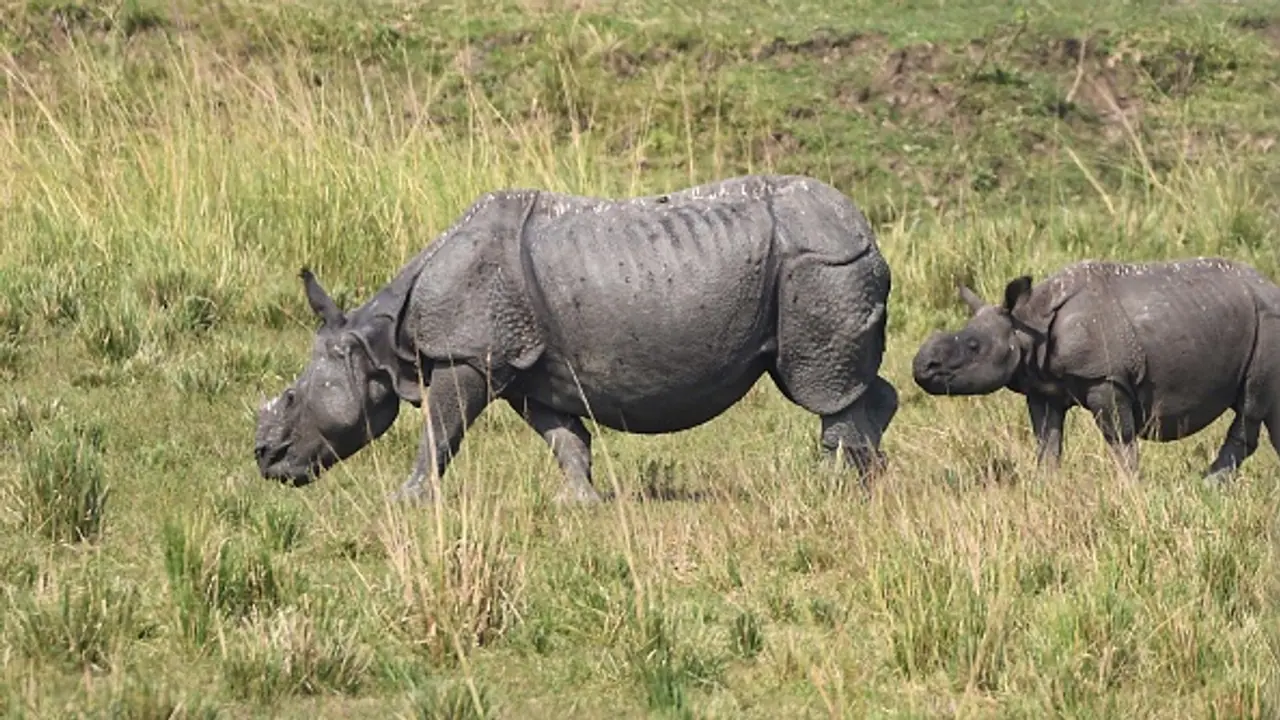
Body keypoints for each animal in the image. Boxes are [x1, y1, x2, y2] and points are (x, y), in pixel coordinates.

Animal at [253, 174, 900, 504]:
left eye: (292, 398)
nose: (265, 459)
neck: (383, 345)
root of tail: (865, 226)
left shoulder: (469, 352)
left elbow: (439, 429)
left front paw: (405, 501)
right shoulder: (525, 365)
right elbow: (564, 437)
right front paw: (579, 504)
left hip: (820, 264)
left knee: (820, 383)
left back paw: (829, 490)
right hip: (822, 264)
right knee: (854, 383)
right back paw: (871, 483)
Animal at [911, 257, 1280, 481]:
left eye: (974, 347)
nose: (921, 367)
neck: (1027, 323)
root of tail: (1269, 285)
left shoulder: (1106, 378)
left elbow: (1120, 438)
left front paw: (1129, 488)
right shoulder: (1042, 387)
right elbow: (1047, 441)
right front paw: (1046, 486)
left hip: (1267, 320)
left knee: (1251, 404)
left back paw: (1207, 485)